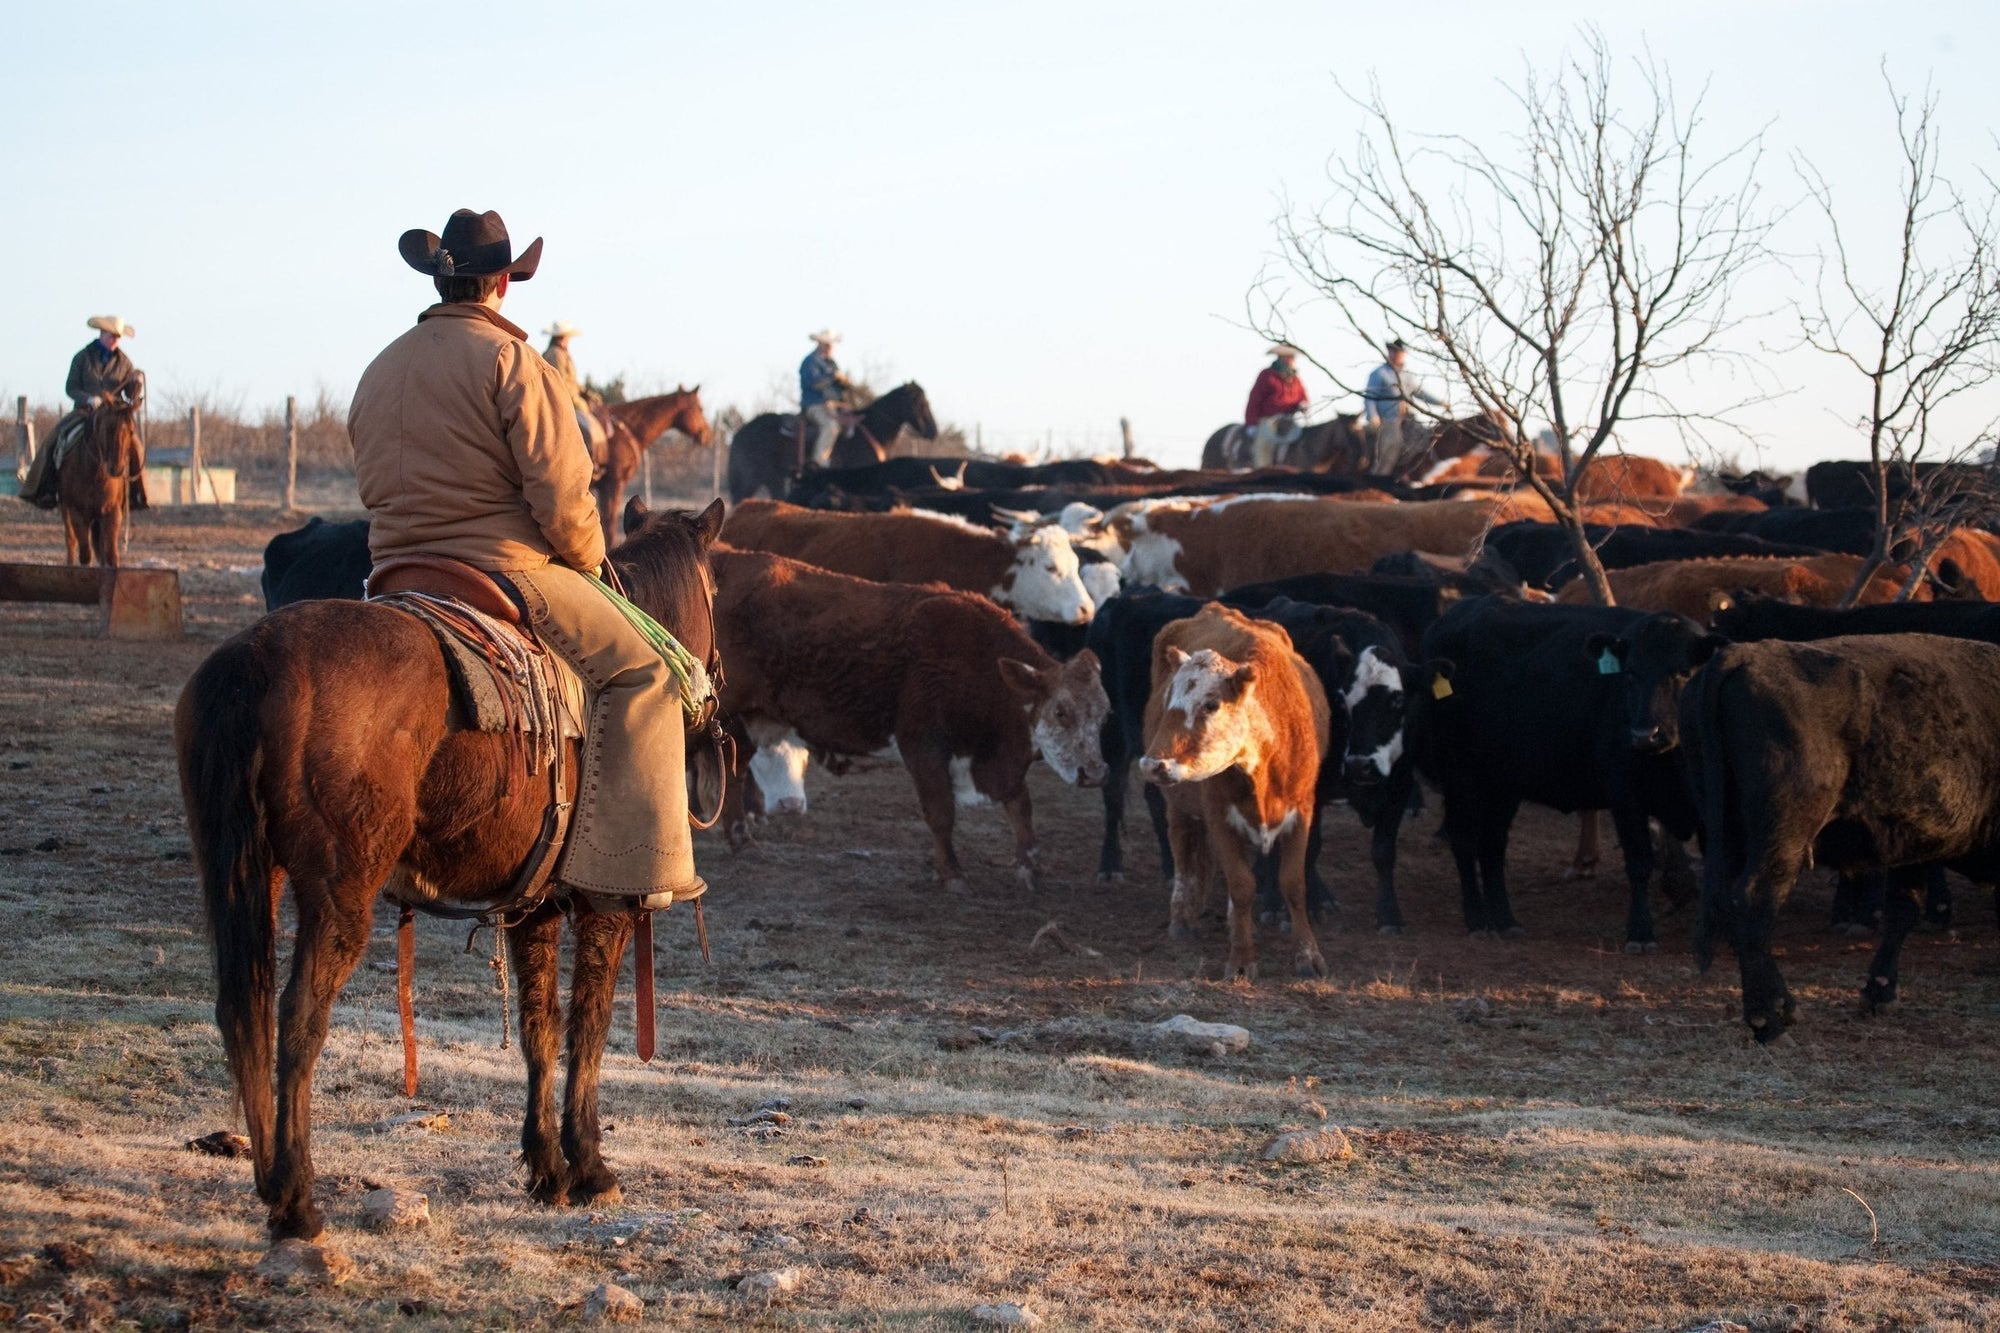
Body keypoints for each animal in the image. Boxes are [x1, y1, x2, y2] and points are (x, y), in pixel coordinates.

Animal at [707, 544, 1108, 893]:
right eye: (1061, 712)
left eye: (1103, 714)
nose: (1095, 773)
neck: (978, 662)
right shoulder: (922, 745)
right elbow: (941, 812)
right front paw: (952, 874)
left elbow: (1020, 806)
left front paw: (1029, 867)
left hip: (746, 719)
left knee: (734, 770)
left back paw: (742, 840)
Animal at [1138, 605, 1329, 980]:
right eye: (1169, 700)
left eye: (1211, 705)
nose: (1153, 765)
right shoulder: (1218, 816)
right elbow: (1242, 885)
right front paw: (1241, 959)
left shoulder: (1302, 812)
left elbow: (1293, 885)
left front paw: (1308, 955)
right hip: (1179, 807)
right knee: (1182, 846)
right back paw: (1181, 916)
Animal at [1416, 597, 1712, 949]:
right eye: (1630, 673)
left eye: (1683, 672)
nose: (1644, 735)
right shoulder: (1624, 793)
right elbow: (1640, 863)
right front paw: (1640, 932)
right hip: (1460, 775)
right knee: (1463, 839)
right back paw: (1477, 918)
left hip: (1502, 784)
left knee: (1492, 845)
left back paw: (1506, 920)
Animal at [1681, 633, 2000, 1040]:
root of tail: (1741, 654)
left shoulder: (1912, 847)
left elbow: (1902, 909)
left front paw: (1879, 994)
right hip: (1783, 836)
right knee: (1753, 902)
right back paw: (1769, 1020)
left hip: (1727, 832)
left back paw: (1781, 1008)